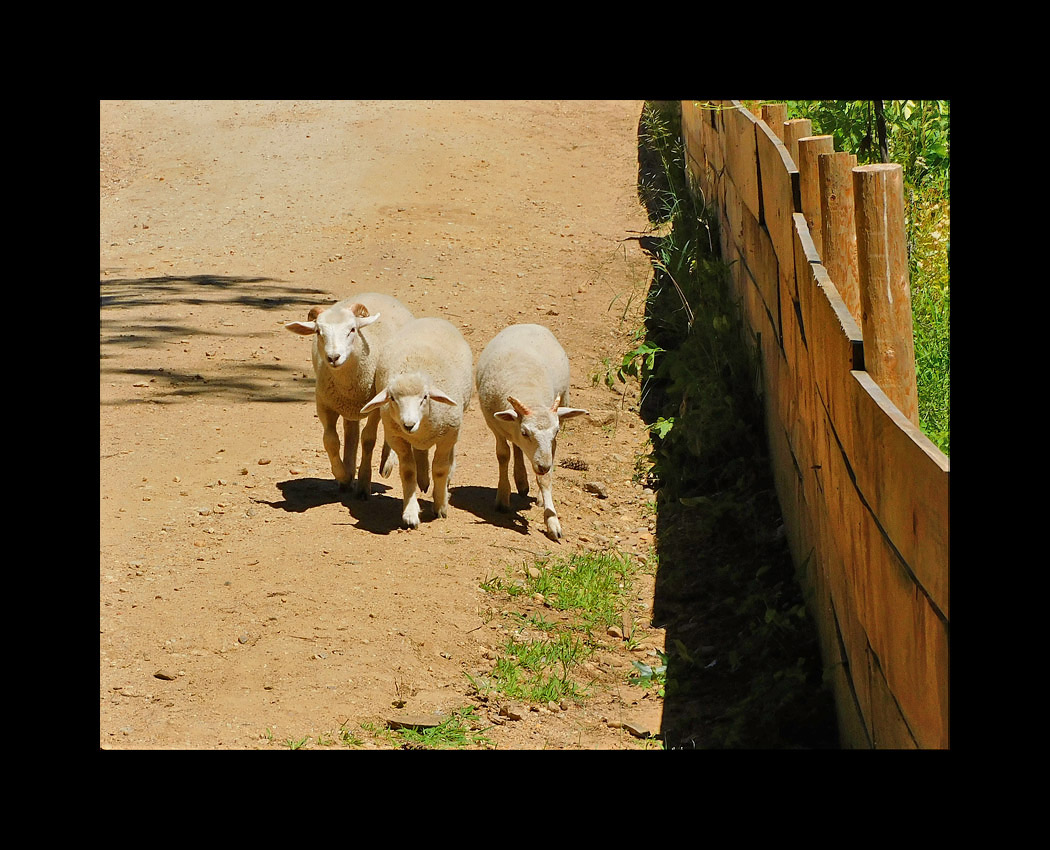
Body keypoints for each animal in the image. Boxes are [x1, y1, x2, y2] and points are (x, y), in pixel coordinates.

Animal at [285, 293, 415, 498]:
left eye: (352, 329)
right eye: (318, 332)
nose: (333, 357)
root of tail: (379, 294)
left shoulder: (375, 405)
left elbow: (368, 439)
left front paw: (363, 484)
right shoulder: (325, 404)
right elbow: (330, 441)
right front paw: (343, 476)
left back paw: (387, 463)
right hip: (348, 408)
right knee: (350, 431)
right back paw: (349, 470)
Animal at [360, 317, 474, 529]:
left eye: (425, 397)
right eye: (393, 399)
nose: (408, 424)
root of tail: (433, 318)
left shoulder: (448, 435)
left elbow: (440, 469)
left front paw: (440, 505)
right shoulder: (397, 437)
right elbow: (407, 471)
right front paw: (410, 513)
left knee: (446, 458)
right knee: (420, 452)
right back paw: (423, 479)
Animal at [475, 323, 588, 540]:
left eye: (556, 432)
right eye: (525, 432)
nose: (543, 466)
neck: (528, 393)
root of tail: (527, 324)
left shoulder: (551, 445)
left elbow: (545, 478)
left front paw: (552, 521)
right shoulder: (495, 425)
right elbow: (503, 455)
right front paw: (503, 497)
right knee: (515, 447)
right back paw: (521, 480)